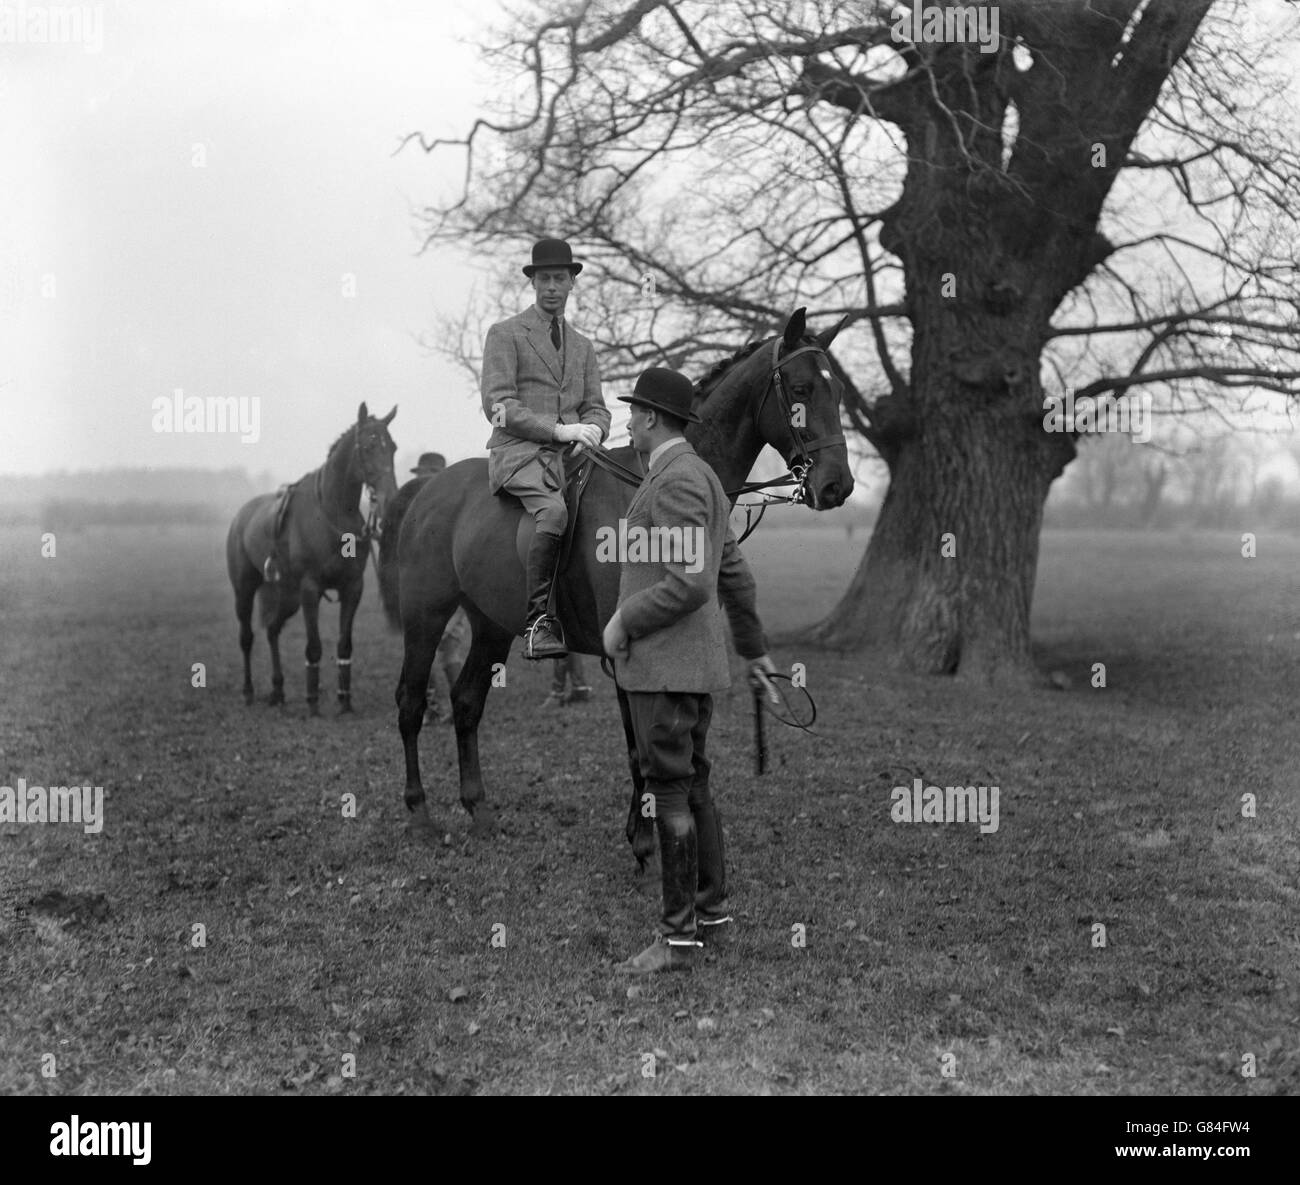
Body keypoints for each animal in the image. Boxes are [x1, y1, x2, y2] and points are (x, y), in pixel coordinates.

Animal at [226, 402, 395, 712]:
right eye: (368, 446)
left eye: (393, 447)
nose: (389, 500)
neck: (333, 513)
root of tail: (242, 515)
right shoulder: (310, 589)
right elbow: (314, 646)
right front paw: (313, 701)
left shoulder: (352, 588)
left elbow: (344, 645)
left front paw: (344, 700)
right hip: (245, 589)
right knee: (247, 637)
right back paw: (249, 691)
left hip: (288, 596)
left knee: (272, 630)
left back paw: (278, 690)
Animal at [379, 310, 852, 857]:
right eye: (799, 389)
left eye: (837, 391)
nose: (838, 485)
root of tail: (427, 491)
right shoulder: (624, 649)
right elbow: (638, 746)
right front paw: (645, 840)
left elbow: (691, 744)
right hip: (426, 616)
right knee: (411, 703)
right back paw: (419, 814)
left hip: (491, 624)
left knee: (466, 703)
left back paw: (479, 810)